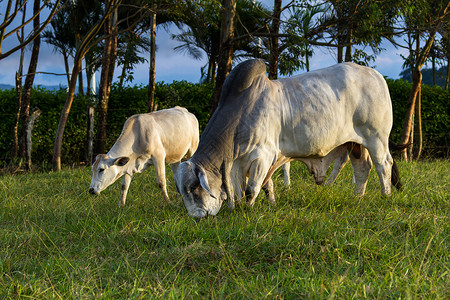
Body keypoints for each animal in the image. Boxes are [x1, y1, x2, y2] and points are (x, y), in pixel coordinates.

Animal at [175, 59, 400, 218]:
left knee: (383, 165)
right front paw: (268, 203)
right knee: (362, 168)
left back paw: (386, 196)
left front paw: (247, 210)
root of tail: (376, 75)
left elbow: (251, 189)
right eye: (182, 192)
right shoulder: (243, 163)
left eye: (194, 187)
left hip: (376, 138)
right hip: (355, 144)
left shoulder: (262, 155)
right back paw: (358, 197)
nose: (196, 217)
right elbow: (264, 186)